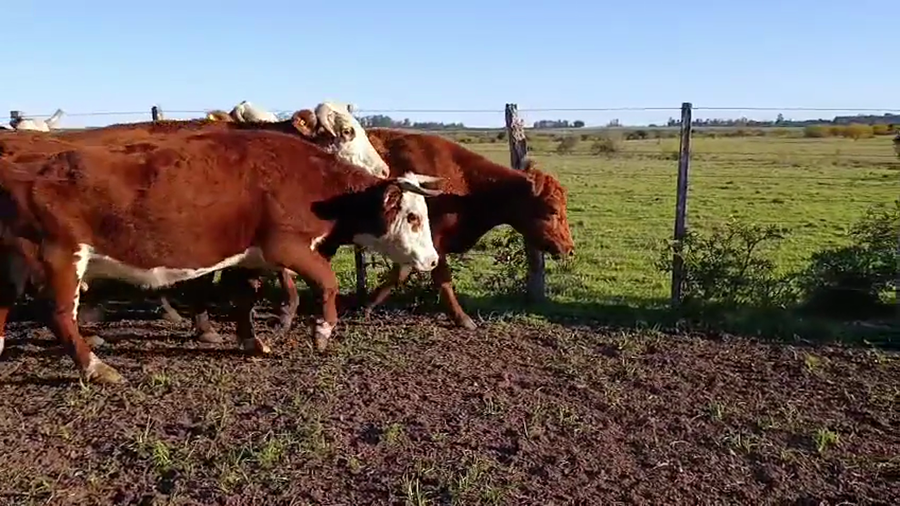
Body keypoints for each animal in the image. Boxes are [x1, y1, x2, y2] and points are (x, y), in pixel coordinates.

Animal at [0, 127, 442, 384]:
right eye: (413, 217)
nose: (433, 261)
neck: (315, 187)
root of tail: (26, 170)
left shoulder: (251, 256)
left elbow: (245, 298)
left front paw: (252, 342)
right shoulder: (287, 247)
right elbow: (328, 282)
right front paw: (322, 331)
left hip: (20, 264)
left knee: (6, 305)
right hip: (60, 258)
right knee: (59, 315)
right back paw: (97, 368)